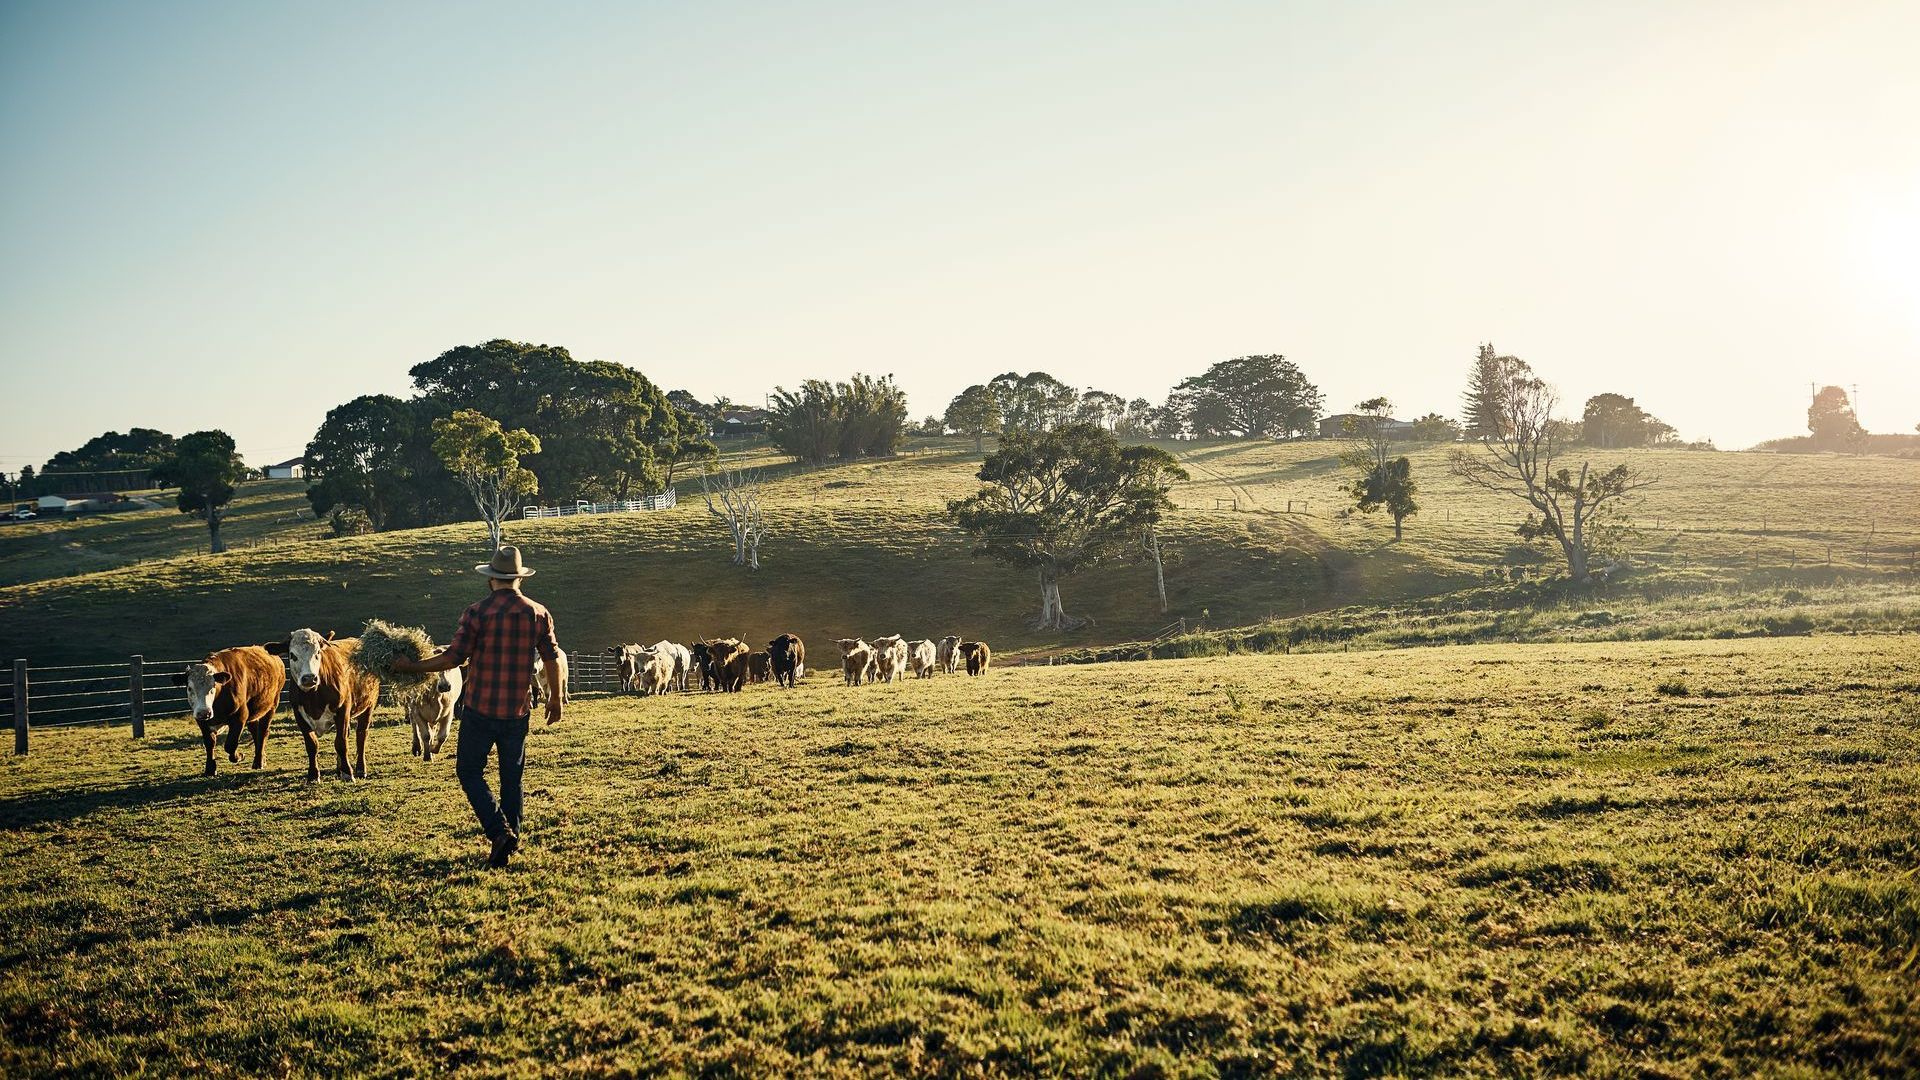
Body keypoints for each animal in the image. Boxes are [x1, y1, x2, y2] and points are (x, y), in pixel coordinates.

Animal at [268, 622, 380, 780]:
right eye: (292, 655)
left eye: (318, 653)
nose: (309, 678)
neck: (313, 697)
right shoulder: (299, 715)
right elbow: (312, 745)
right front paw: (313, 775)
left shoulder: (343, 710)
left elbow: (341, 743)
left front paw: (347, 772)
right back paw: (339, 769)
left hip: (368, 705)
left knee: (361, 735)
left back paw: (359, 769)